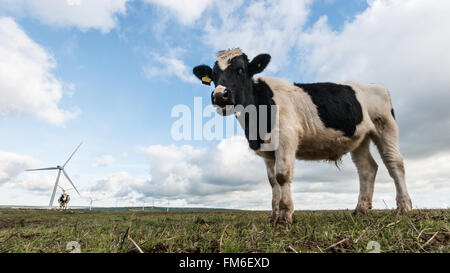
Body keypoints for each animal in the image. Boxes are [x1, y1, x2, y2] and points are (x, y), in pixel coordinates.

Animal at [192, 48, 414, 223]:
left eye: (240, 70)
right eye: (213, 75)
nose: (220, 95)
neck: (256, 124)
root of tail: (375, 85)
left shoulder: (287, 138)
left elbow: (282, 176)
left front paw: (285, 216)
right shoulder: (267, 151)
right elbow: (272, 181)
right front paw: (273, 216)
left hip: (385, 126)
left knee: (394, 163)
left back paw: (404, 207)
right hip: (359, 139)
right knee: (367, 169)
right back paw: (360, 210)